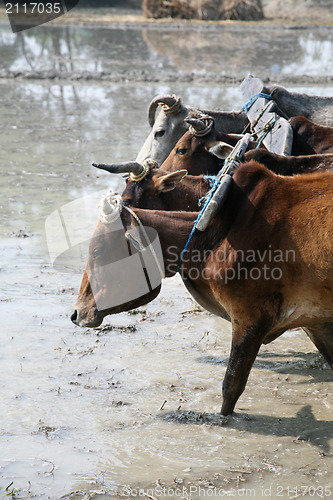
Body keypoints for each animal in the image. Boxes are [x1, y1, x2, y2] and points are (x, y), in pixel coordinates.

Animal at [72, 162, 332, 416]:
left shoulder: (250, 320)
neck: (216, 236)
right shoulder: (315, 321)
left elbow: (231, 387)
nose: (76, 313)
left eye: (97, 252)